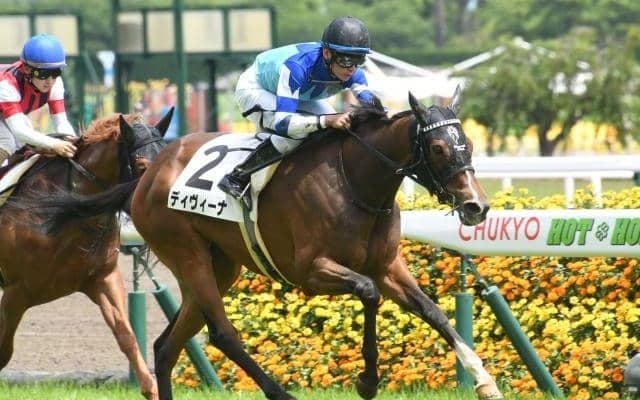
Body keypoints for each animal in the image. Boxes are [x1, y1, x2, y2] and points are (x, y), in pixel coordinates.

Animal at [0, 109, 172, 400]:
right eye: (141, 167)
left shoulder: (102, 278)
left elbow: (127, 336)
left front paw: (151, 389)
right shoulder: (16, 292)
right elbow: (4, 350)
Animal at [31, 92, 501, 400]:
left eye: (468, 144)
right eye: (438, 146)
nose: (476, 206)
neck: (355, 181)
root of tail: (146, 176)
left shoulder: (389, 267)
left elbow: (433, 312)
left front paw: (484, 380)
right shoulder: (311, 270)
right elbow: (368, 293)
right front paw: (367, 381)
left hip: (219, 266)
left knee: (166, 346)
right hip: (186, 251)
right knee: (222, 335)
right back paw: (280, 393)